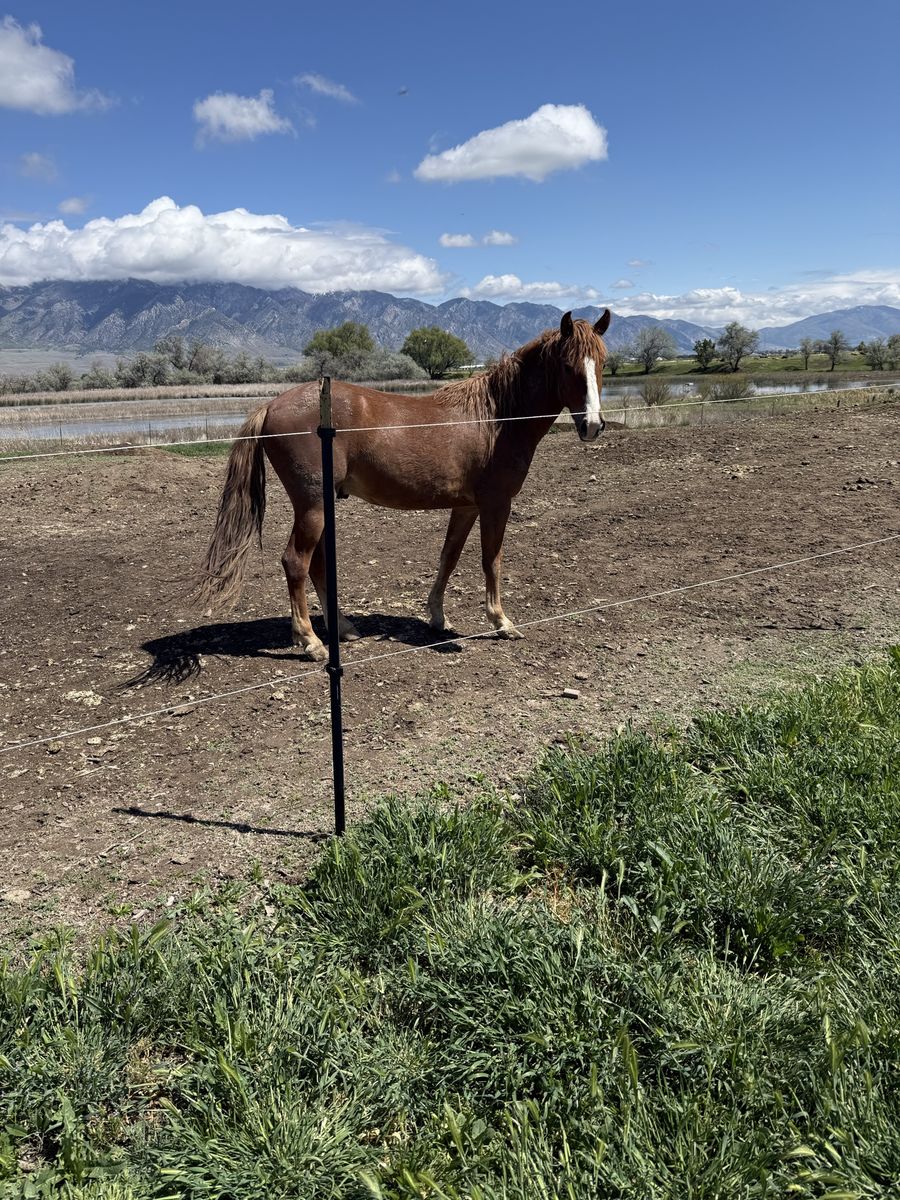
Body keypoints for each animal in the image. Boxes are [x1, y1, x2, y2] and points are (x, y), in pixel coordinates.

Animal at [196, 309, 611, 661]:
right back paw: (311, 641)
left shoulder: (466, 506)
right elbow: (490, 560)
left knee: (317, 566)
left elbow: (449, 556)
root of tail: (272, 404)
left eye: (602, 364)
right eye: (569, 366)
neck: (496, 418)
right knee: (296, 562)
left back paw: (342, 628)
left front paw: (438, 616)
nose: (593, 425)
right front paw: (501, 621)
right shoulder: (496, 504)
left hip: (322, 506)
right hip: (311, 506)